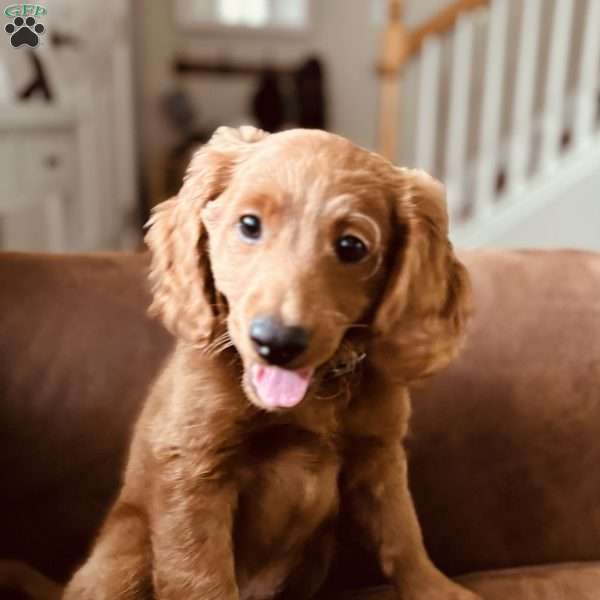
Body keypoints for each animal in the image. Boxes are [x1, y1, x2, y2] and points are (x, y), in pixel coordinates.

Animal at [64, 126, 478, 600]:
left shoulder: (379, 457)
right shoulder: (193, 471)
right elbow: (200, 575)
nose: (276, 343)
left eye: (352, 246)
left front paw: (437, 588)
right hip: (127, 547)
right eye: (249, 225)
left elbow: (402, 535)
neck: (313, 395)